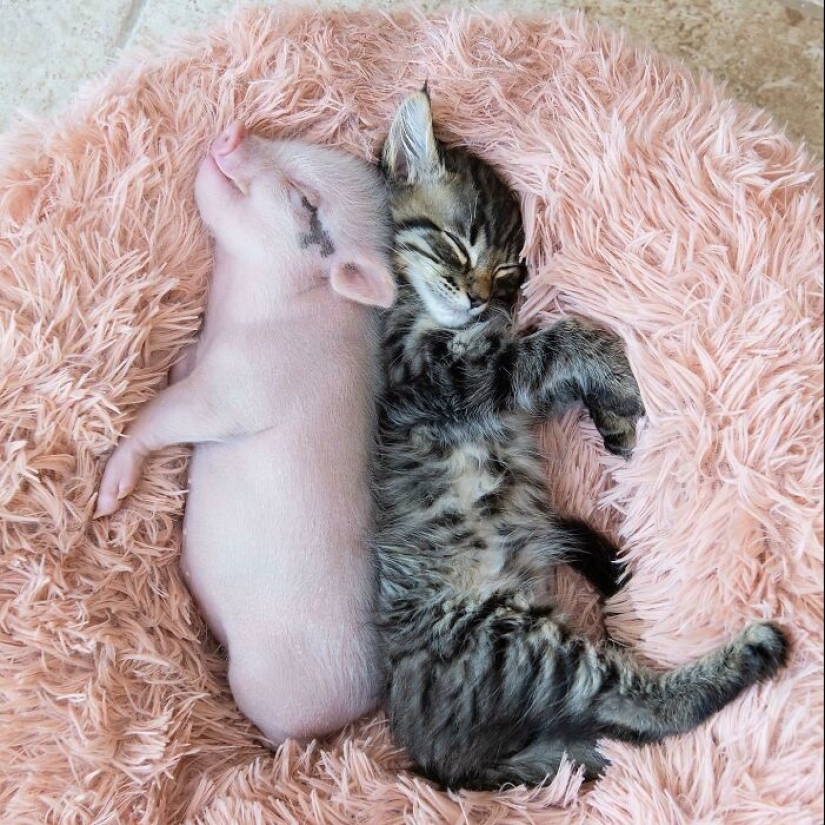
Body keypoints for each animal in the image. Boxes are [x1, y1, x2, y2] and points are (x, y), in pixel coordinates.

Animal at [95, 122, 396, 745]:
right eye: (290, 143)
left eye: (306, 202)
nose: (233, 132)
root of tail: (355, 713)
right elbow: (175, 378)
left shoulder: (240, 387)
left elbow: (166, 414)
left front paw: (106, 499)